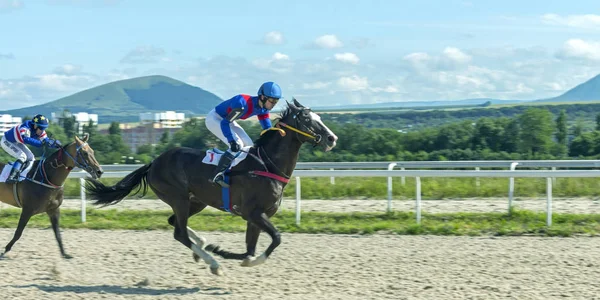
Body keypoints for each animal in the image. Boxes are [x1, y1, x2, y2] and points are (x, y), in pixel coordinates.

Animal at [83, 98, 338, 274]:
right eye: (307, 120)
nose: (332, 139)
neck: (267, 165)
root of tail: (154, 162)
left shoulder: (256, 216)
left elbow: (250, 249)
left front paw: (230, 253)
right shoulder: (253, 213)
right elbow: (276, 238)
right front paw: (228, 255)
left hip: (196, 201)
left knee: (175, 223)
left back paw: (203, 247)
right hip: (178, 198)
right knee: (179, 232)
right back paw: (213, 262)